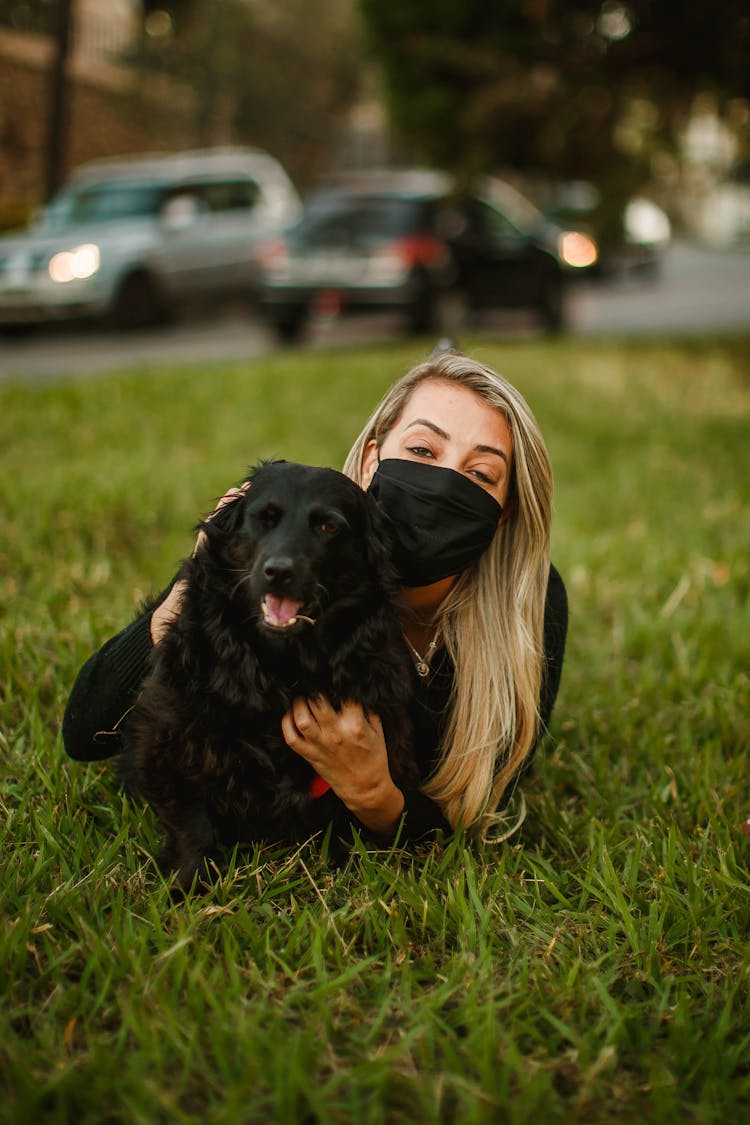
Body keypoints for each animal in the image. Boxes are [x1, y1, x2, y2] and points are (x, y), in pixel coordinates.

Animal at [123, 461, 416, 891]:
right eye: (265, 518)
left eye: (329, 526)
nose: (278, 571)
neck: (282, 664)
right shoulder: (169, 739)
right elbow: (191, 823)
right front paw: (186, 883)